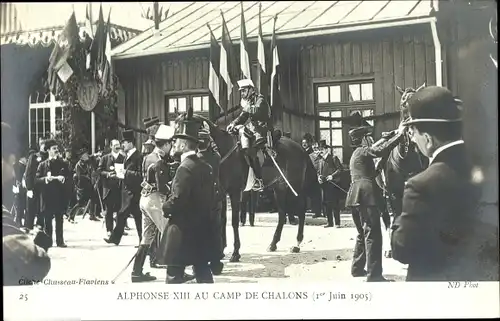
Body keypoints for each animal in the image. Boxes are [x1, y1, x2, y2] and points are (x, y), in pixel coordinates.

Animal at [174, 111, 318, 262]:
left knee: (300, 210)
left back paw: (297, 243)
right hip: (279, 188)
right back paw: (273, 243)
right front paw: (222, 250)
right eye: (175, 130)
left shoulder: (235, 192)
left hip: (294, 186)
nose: (176, 155)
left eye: (188, 129)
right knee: (282, 213)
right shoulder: (221, 193)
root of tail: (300, 148)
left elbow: (234, 221)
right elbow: (223, 220)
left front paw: (235, 253)